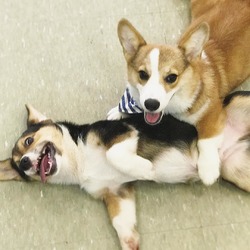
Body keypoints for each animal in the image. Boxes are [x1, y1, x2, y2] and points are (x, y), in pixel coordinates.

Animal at [0, 91, 250, 249]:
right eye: (19, 166)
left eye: (29, 141)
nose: (24, 163)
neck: (79, 160)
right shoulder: (117, 193)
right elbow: (121, 222)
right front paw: (130, 243)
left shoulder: (122, 133)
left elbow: (115, 155)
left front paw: (146, 169)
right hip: (237, 171)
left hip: (238, 101)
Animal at [109, 0, 250, 186]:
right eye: (142, 74)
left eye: (171, 78)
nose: (151, 104)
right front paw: (118, 111)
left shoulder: (213, 111)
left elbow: (206, 139)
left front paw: (208, 168)